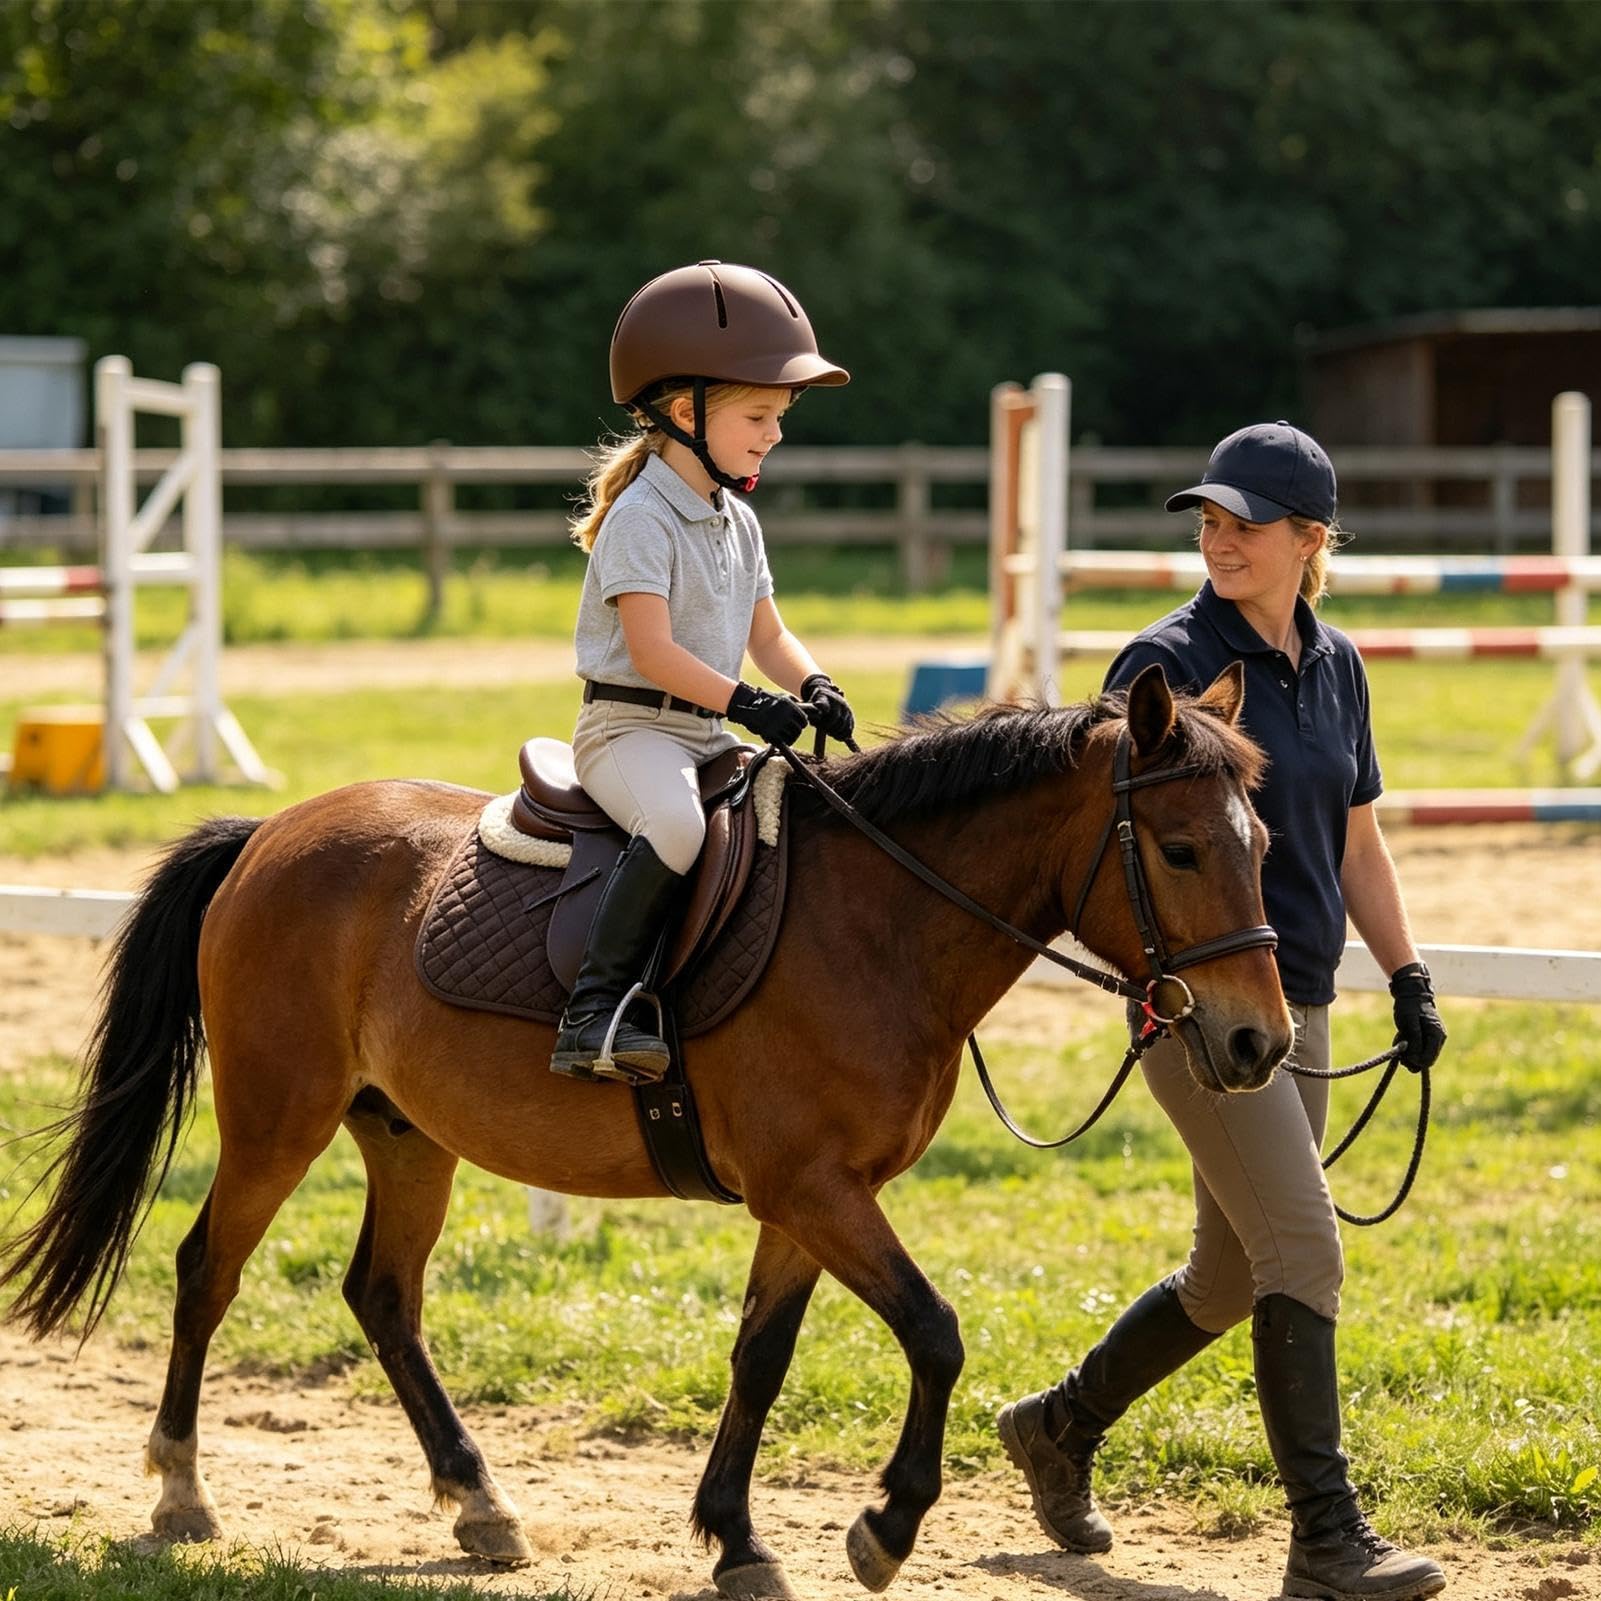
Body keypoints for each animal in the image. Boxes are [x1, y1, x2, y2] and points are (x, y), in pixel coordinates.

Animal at [1, 662, 1291, 1599]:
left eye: (1264, 845)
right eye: (1179, 848)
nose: (1255, 1043)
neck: (877, 924)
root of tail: (273, 830)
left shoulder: (807, 1199)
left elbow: (761, 1355)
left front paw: (735, 1536)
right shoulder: (815, 1189)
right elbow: (934, 1331)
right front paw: (884, 1523)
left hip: (407, 1135)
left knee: (382, 1295)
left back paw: (477, 1500)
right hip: (279, 1120)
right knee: (206, 1268)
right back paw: (180, 1491)